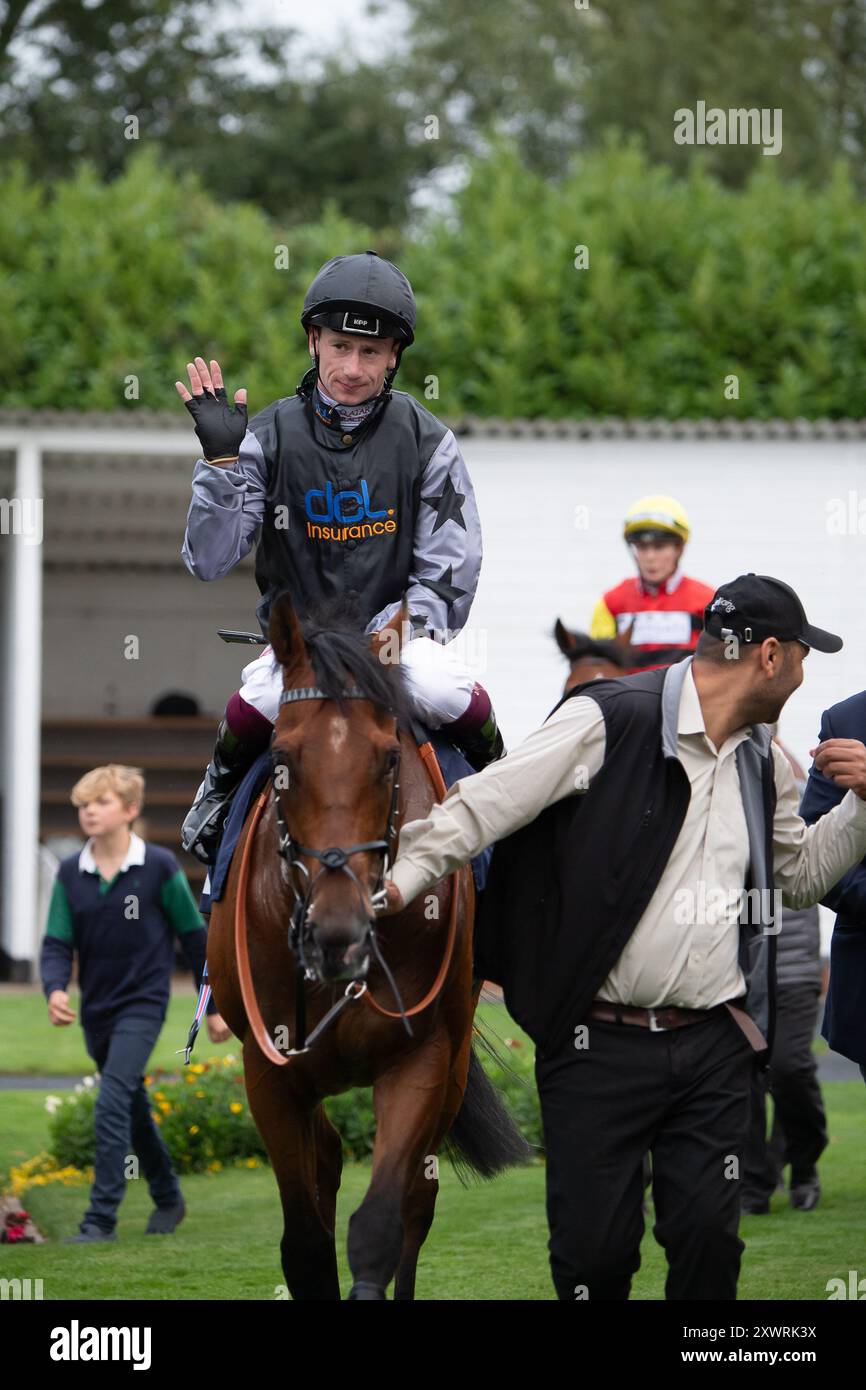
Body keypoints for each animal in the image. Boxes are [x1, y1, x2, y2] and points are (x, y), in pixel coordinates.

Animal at [207, 592, 528, 1295]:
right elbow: (304, 1243)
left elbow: (382, 1223)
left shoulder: (422, 1057)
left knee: (416, 1201)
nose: (338, 930)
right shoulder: (269, 1073)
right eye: (281, 761)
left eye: (388, 758)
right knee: (328, 1159)